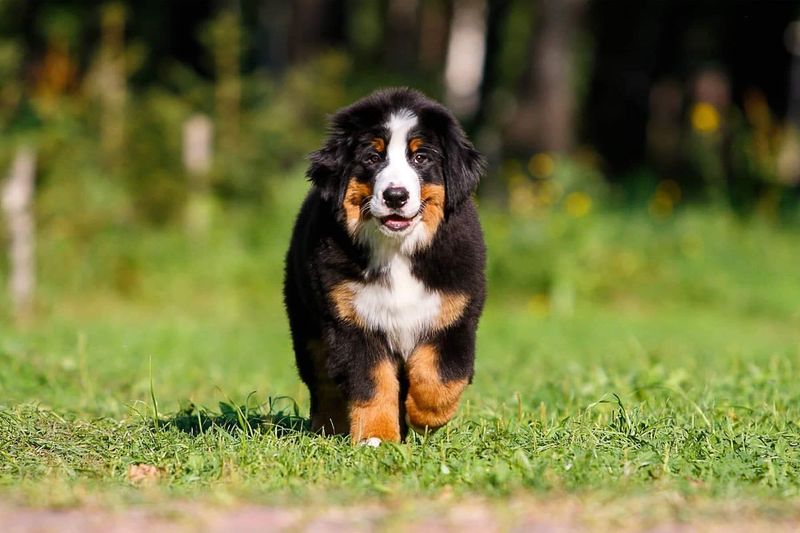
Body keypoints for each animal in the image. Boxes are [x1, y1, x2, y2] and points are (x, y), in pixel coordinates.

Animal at [284, 87, 484, 444]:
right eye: (372, 158)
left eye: (421, 158)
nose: (395, 196)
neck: (397, 250)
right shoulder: (352, 321)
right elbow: (372, 383)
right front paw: (376, 438)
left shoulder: (454, 316)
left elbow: (441, 378)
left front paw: (422, 416)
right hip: (307, 323)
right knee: (323, 381)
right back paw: (330, 426)